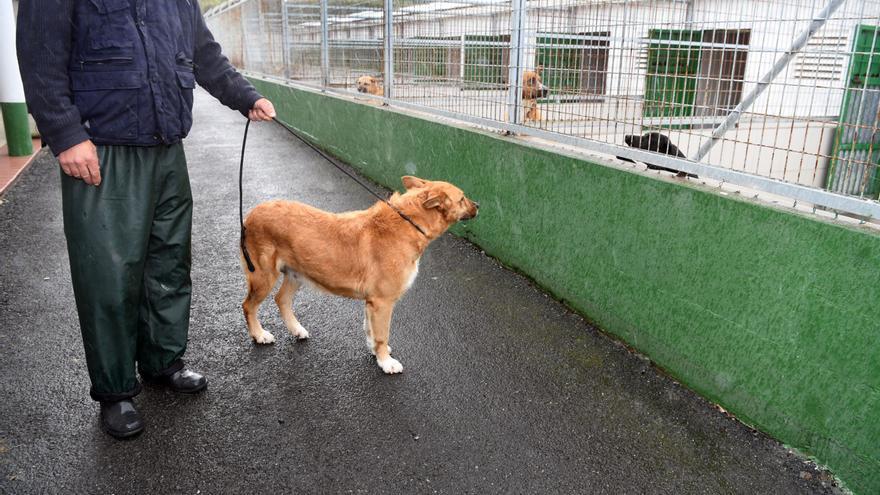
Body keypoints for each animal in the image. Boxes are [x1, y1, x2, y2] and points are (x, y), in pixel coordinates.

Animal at [239, 176, 482, 374]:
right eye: (462, 198)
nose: (479, 205)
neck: (409, 223)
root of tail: (250, 215)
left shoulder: (371, 302)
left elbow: (370, 329)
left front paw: (375, 351)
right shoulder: (383, 302)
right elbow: (382, 334)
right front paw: (386, 362)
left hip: (296, 274)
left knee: (282, 300)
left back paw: (296, 329)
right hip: (263, 276)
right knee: (249, 306)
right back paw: (259, 335)